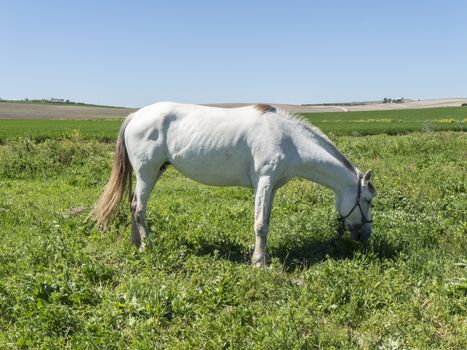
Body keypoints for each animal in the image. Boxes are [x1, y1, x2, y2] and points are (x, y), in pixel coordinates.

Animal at [91, 101, 376, 266]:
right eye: (368, 200)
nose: (365, 235)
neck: (289, 139)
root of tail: (135, 115)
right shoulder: (264, 182)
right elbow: (260, 224)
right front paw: (259, 262)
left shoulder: (271, 187)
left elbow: (266, 221)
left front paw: (265, 256)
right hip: (147, 173)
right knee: (139, 208)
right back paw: (147, 247)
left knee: (132, 205)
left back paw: (136, 243)